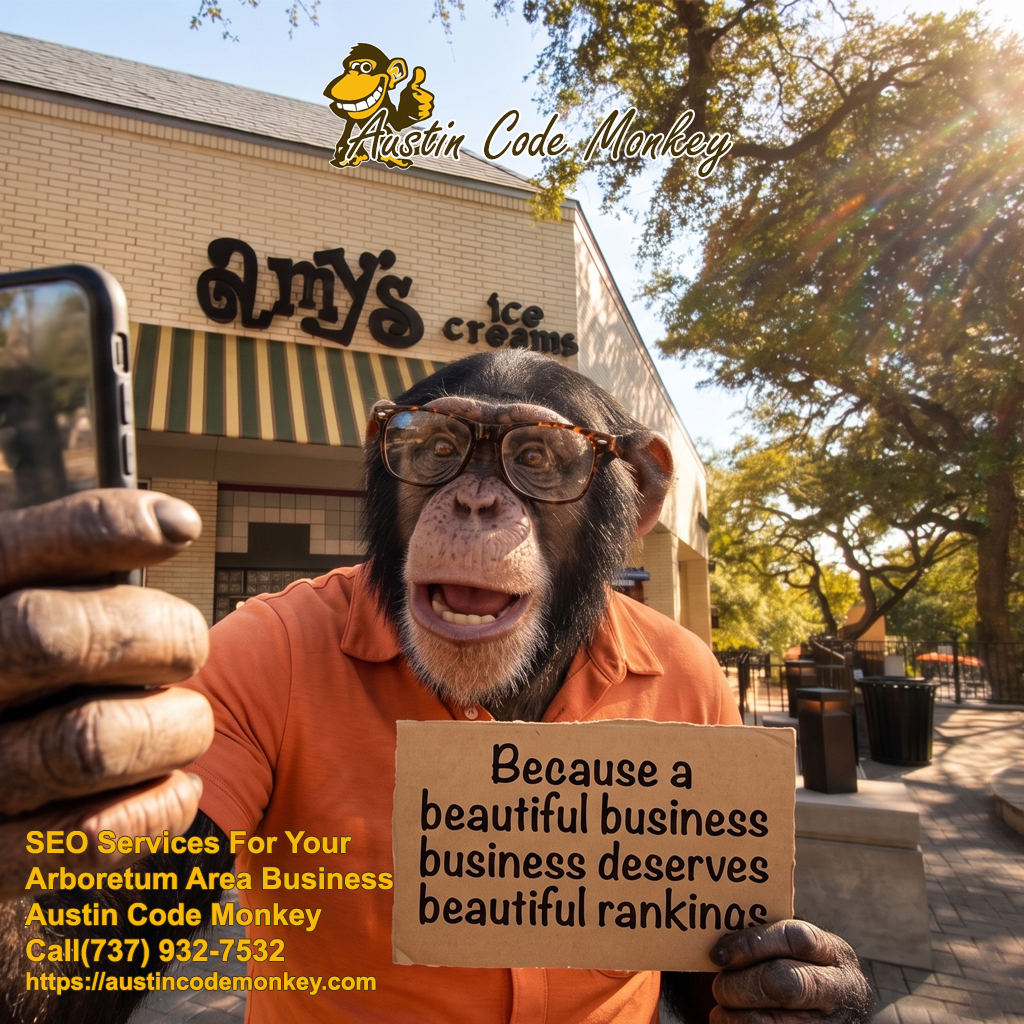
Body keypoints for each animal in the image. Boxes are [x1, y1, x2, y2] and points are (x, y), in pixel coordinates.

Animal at [0, 352, 872, 1023]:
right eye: (436, 447)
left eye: (535, 458)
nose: (475, 501)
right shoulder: (247, 655)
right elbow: (87, 935)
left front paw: (797, 981)